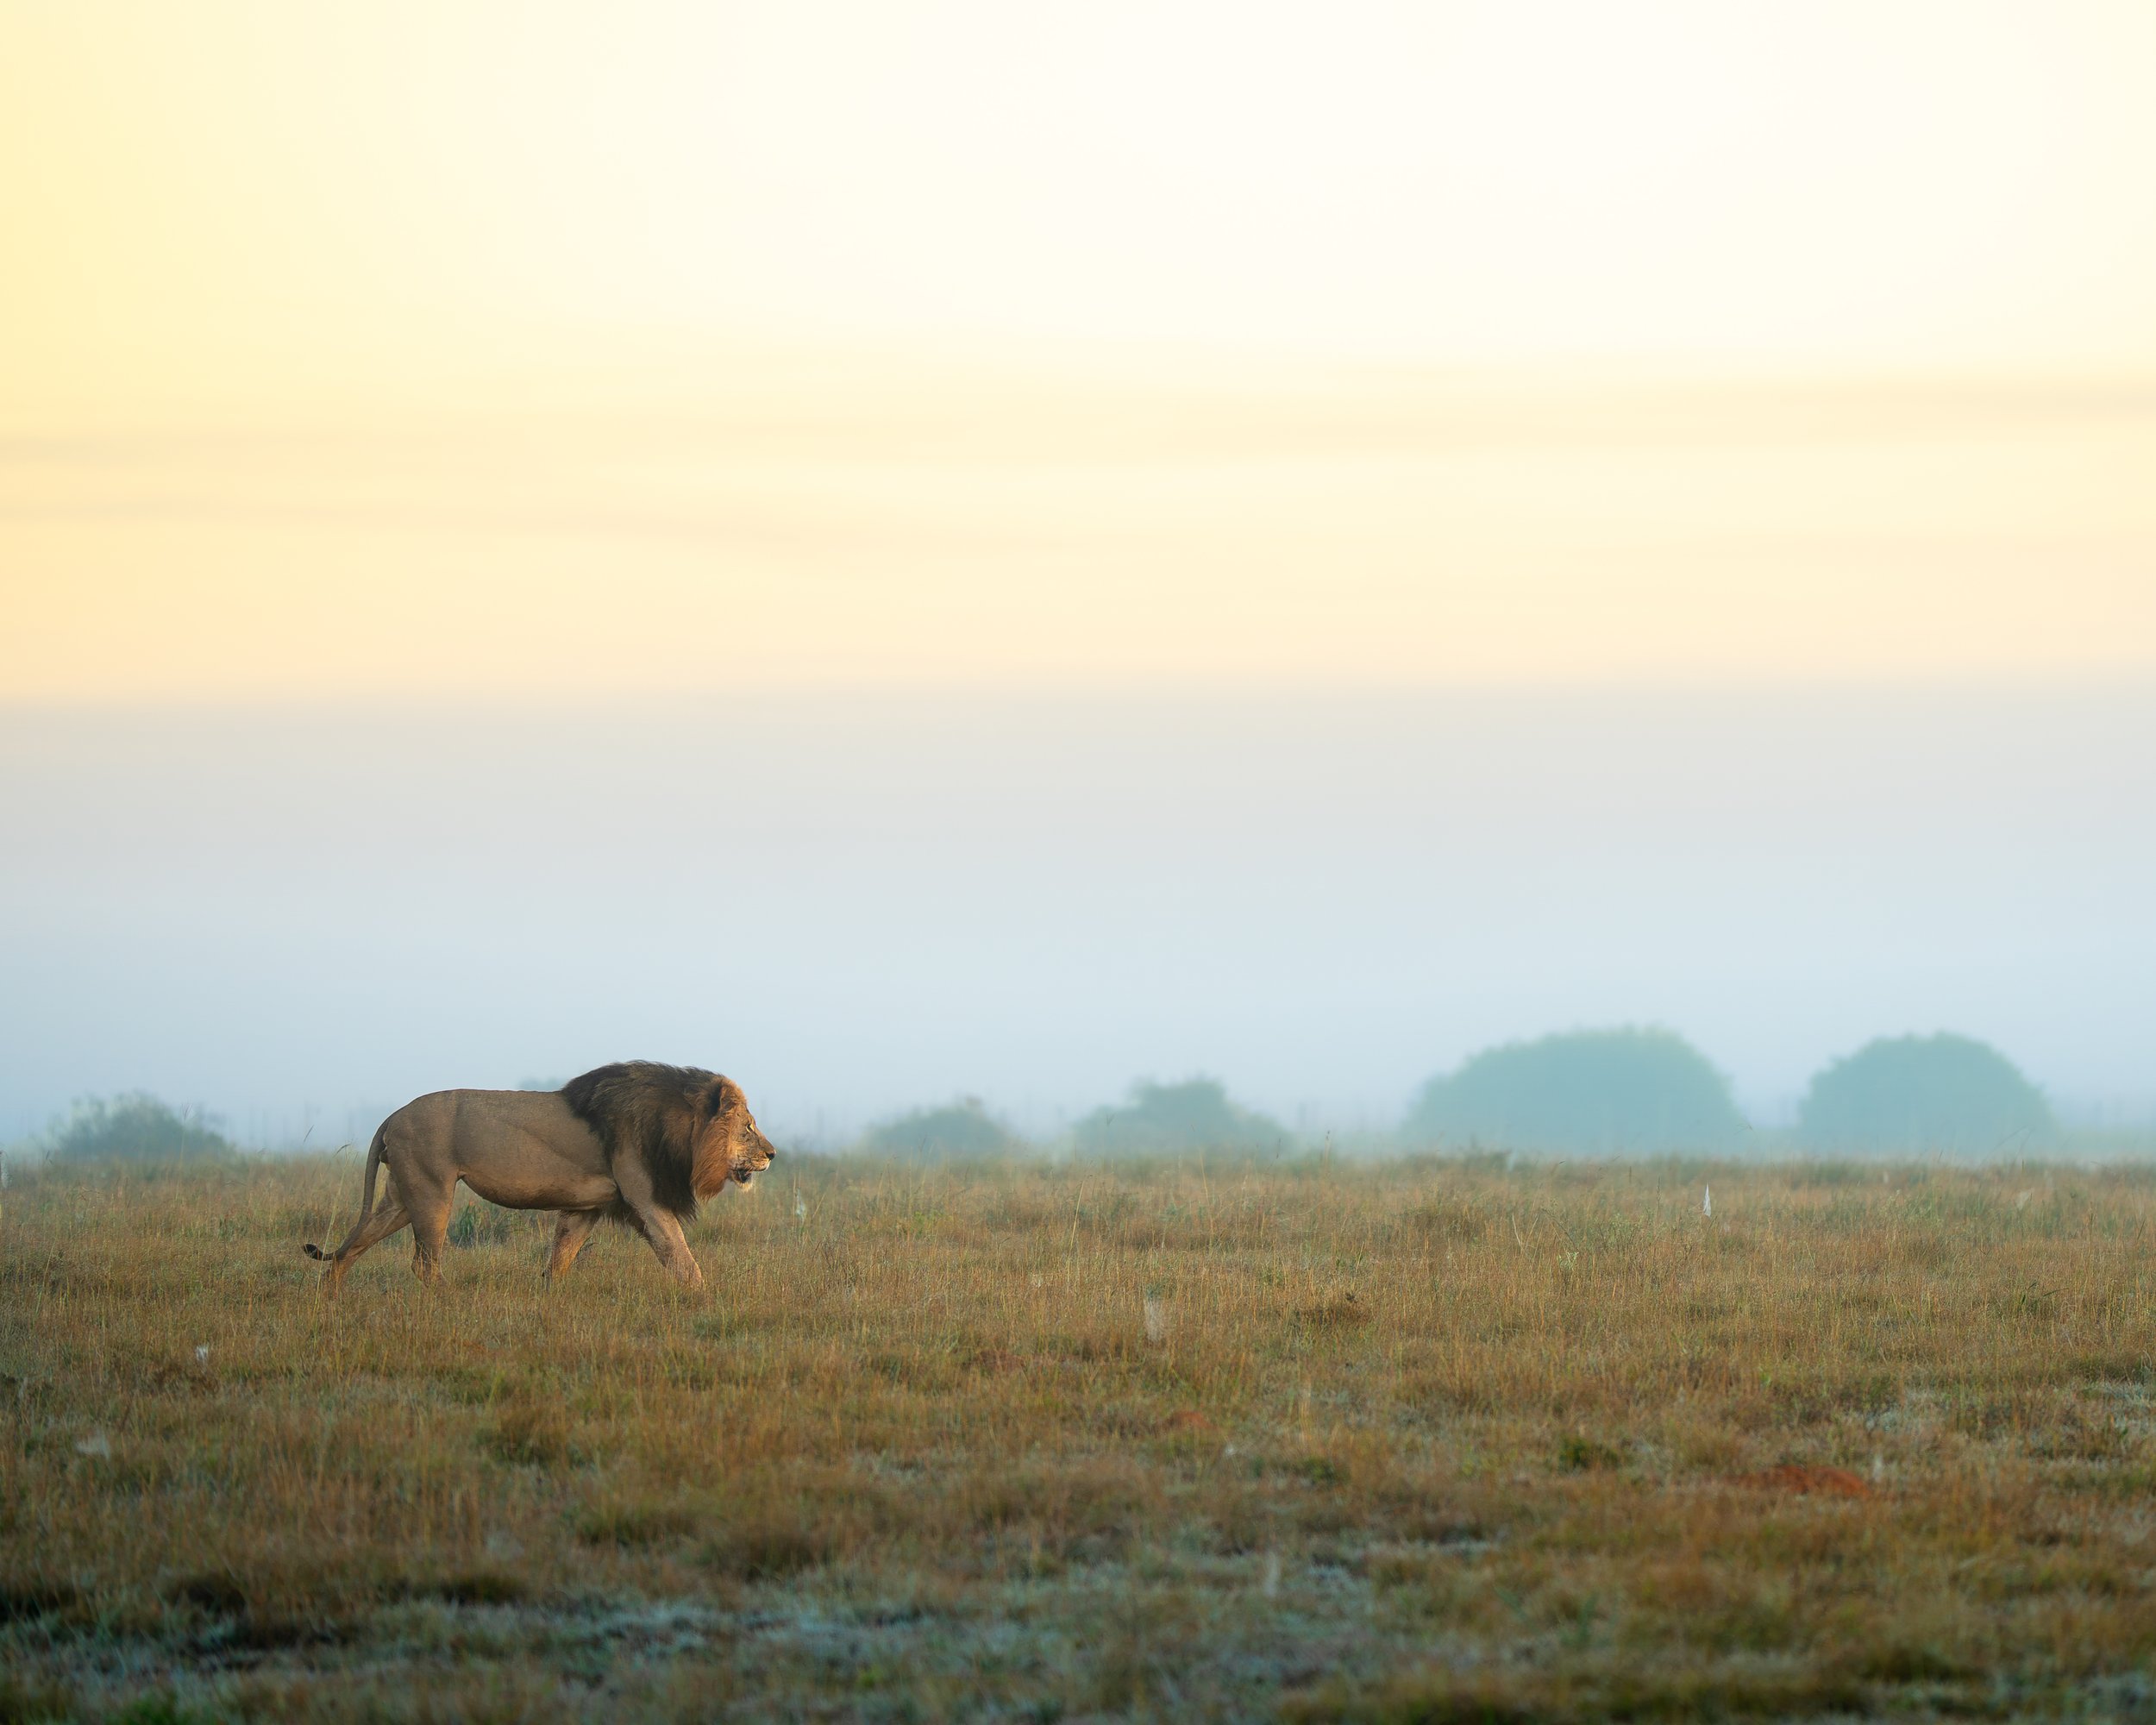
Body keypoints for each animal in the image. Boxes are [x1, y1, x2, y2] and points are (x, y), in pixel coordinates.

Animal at [303, 1062, 776, 1293]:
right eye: (749, 1127)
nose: (772, 1154)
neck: (680, 1129)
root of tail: (392, 1116)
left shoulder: (589, 1206)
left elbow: (560, 1256)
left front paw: (547, 1298)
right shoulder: (646, 1198)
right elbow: (680, 1255)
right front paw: (705, 1299)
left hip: (402, 1197)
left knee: (352, 1246)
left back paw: (330, 1299)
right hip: (432, 1192)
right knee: (424, 1262)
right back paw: (450, 1299)